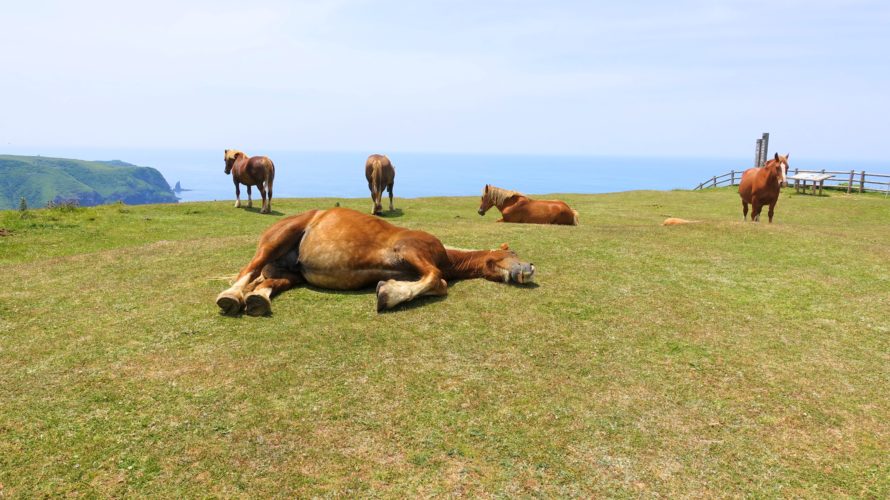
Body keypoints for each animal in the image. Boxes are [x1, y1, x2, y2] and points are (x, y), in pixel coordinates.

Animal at [215, 205, 536, 314]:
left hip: (291, 274)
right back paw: (230, 296)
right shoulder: (410, 251)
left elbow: (435, 282)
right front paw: (387, 295)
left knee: (265, 283)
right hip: (277, 240)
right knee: (248, 271)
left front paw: (392, 290)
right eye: (513, 253)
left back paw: (257, 301)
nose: (530, 268)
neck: (446, 254)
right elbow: (438, 280)